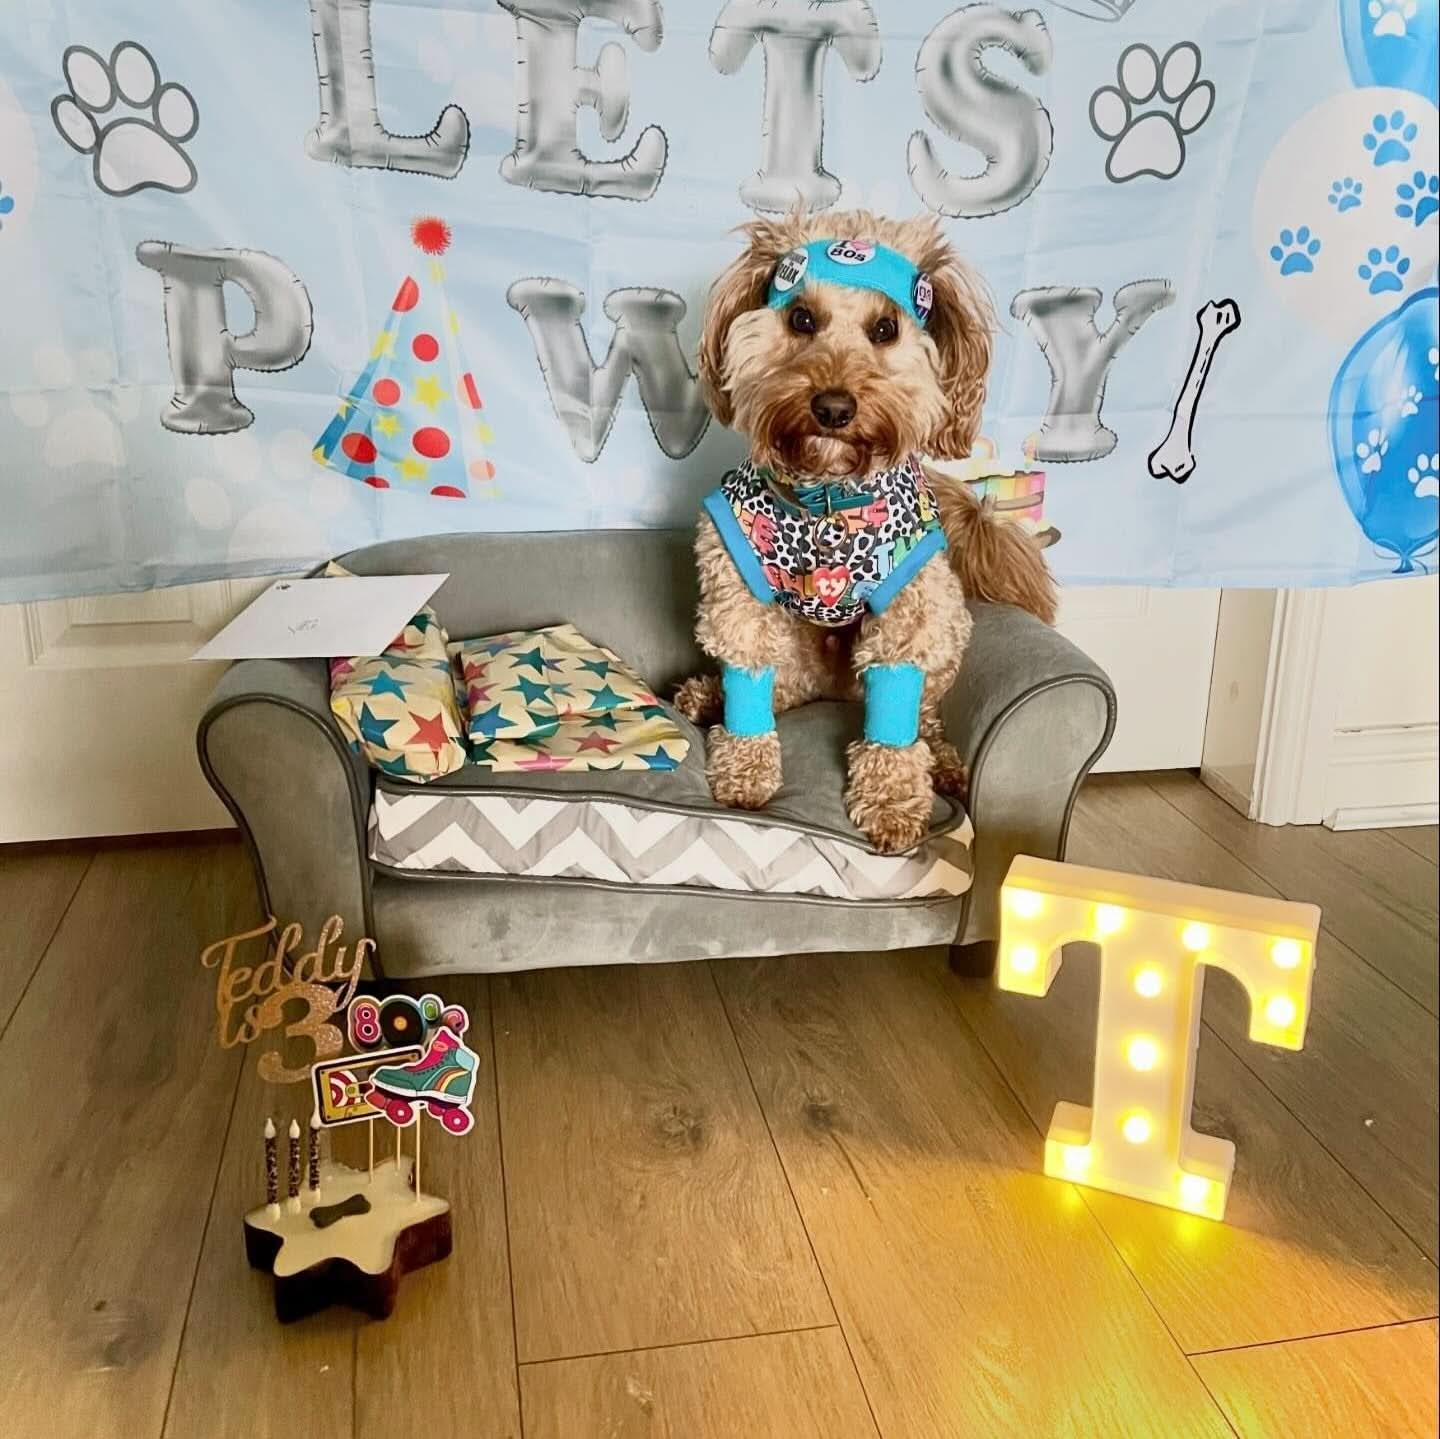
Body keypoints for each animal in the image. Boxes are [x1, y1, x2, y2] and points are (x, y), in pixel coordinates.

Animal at [673, 213, 1059, 852]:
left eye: (885, 328)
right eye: (802, 318)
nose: (833, 407)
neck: (829, 499)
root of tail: (835, 686)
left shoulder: (910, 617)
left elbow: (893, 725)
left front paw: (892, 803)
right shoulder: (739, 596)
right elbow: (749, 677)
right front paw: (745, 768)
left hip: (948, 630)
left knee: (923, 717)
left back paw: (943, 762)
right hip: (798, 649)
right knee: (783, 686)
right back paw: (710, 698)